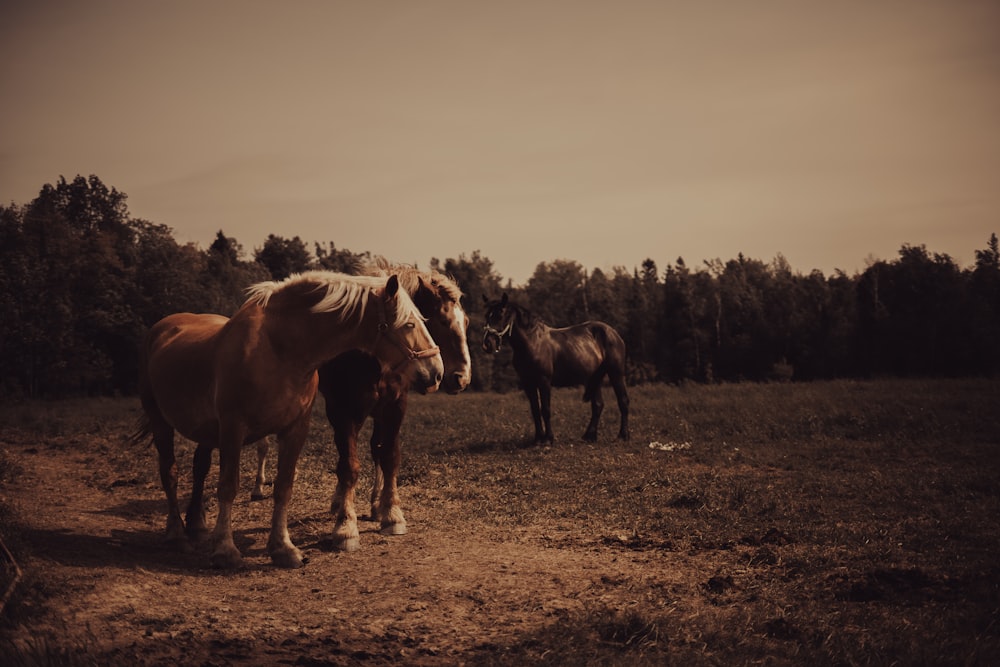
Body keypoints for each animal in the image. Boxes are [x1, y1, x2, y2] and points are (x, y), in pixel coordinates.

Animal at [134, 272, 446, 568]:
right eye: (409, 324)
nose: (436, 372)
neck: (278, 349)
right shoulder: (233, 428)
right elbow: (228, 486)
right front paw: (225, 550)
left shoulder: (295, 430)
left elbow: (284, 486)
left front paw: (283, 549)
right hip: (162, 422)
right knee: (170, 473)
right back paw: (176, 534)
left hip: (207, 432)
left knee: (199, 468)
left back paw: (197, 525)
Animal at [248, 264, 470, 552]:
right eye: (441, 320)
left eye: (466, 322)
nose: (460, 378)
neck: (370, 358)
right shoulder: (343, 411)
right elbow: (349, 465)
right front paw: (345, 526)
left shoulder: (394, 407)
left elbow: (388, 456)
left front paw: (391, 514)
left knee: (374, 449)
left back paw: (373, 504)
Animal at [480, 294, 628, 446]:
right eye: (487, 315)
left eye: (500, 315)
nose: (488, 344)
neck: (532, 343)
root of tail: (613, 333)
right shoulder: (528, 382)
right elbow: (535, 410)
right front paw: (538, 439)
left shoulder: (544, 381)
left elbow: (545, 409)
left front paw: (548, 439)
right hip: (594, 378)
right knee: (598, 405)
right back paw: (589, 436)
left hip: (616, 373)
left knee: (623, 401)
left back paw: (622, 436)